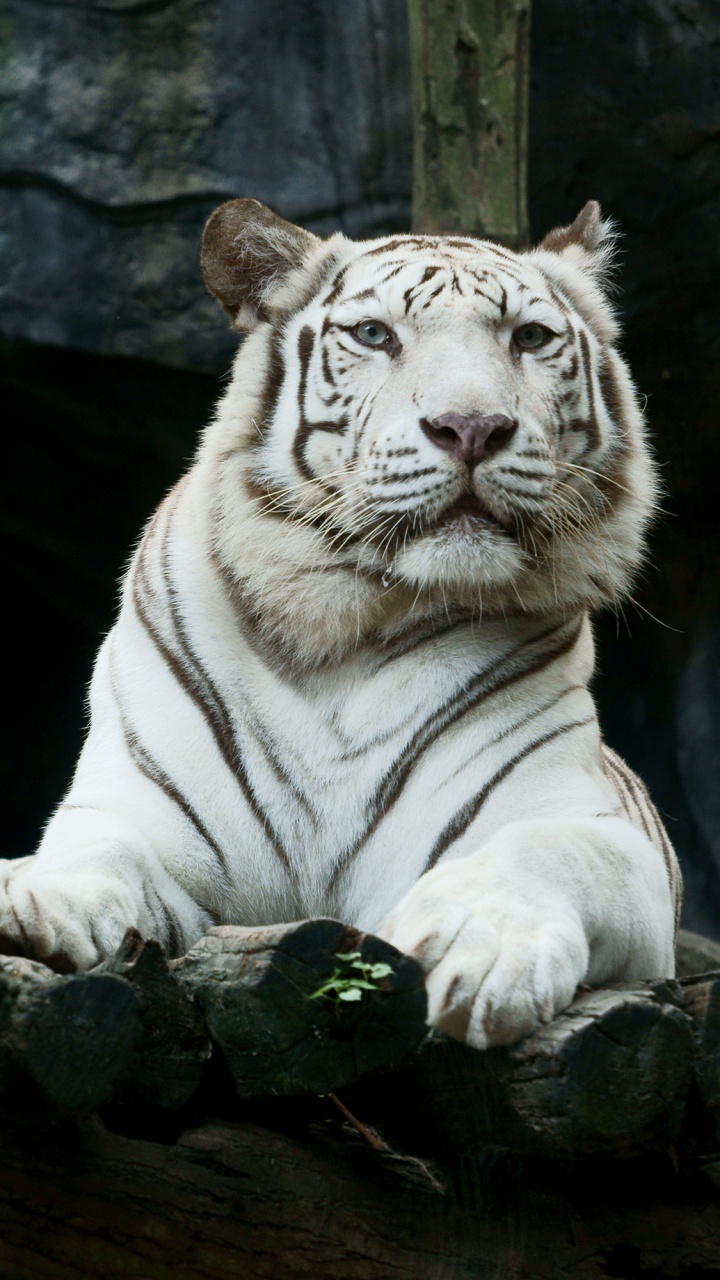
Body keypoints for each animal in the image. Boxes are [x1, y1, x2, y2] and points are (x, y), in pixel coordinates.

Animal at [0, 197, 681, 1050]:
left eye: (529, 337)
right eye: (374, 335)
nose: (471, 427)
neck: (346, 632)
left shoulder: (588, 822)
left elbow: (544, 851)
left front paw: (476, 947)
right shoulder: (141, 814)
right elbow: (96, 852)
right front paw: (36, 899)